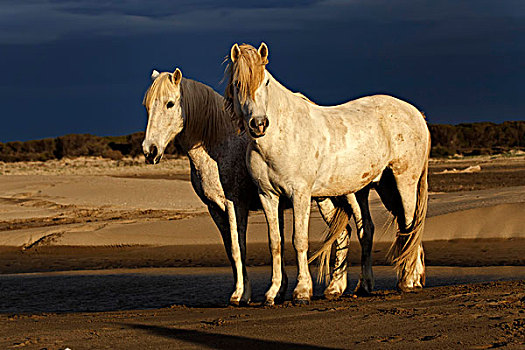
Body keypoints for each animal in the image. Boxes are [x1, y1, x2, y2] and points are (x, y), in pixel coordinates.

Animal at [141, 67, 362, 304]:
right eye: (147, 106)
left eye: (170, 104)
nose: (150, 151)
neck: (218, 143)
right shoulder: (216, 209)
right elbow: (238, 249)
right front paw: (273, 290)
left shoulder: (235, 204)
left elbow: (239, 248)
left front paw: (240, 294)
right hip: (325, 198)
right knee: (343, 232)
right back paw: (335, 287)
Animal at [225, 43, 430, 306]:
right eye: (237, 83)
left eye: (266, 82)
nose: (259, 124)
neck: (281, 136)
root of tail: (415, 113)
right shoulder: (268, 195)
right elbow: (275, 243)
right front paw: (272, 293)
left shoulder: (300, 194)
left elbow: (299, 240)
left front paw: (302, 291)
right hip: (368, 190)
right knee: (369, 230)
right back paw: (363, 285)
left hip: (404, 183)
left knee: (409, 224)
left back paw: (408, 281)